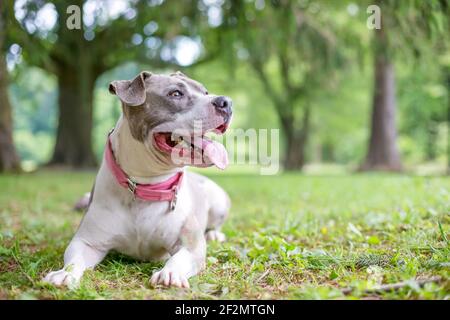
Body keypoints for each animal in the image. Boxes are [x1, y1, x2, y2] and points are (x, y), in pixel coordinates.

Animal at [43, 71, 232, 288]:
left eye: (205, 92)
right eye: (175, 93)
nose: (226, 102)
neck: (147, 185)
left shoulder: (191, 245)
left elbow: (180, 258)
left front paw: (170, 273)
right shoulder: (87, 241)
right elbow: (74, 259)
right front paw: (64, 274)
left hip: (218, 201)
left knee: (215, 224)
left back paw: (214, 234)